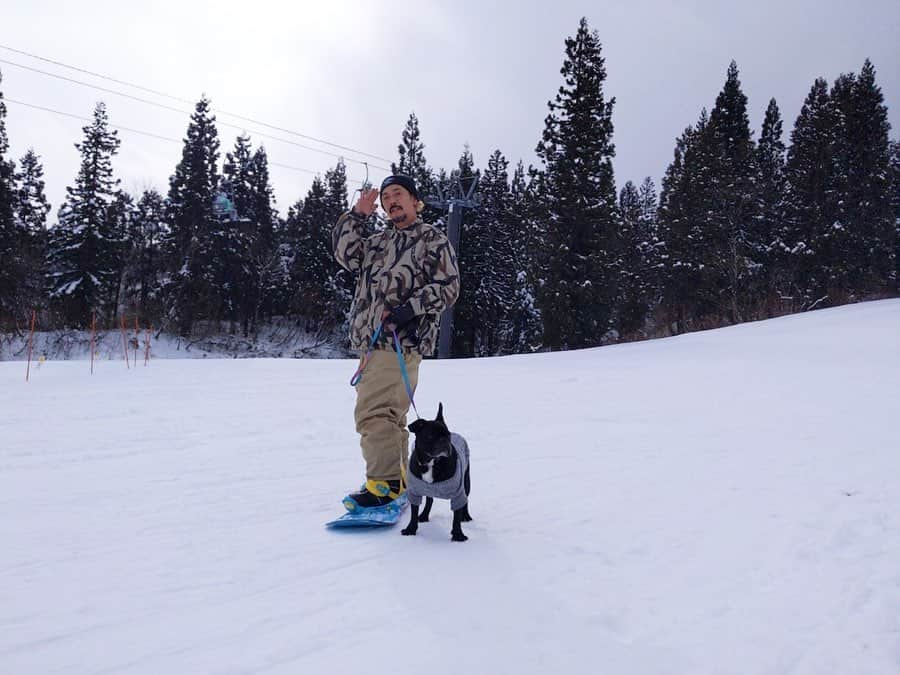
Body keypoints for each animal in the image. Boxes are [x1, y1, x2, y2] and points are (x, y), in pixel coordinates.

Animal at [400, 404, 472, 540]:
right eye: (431, 436)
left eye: (448, 435)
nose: (445, 441)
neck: (431, 463)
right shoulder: (415, 492)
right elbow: (414, 512)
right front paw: (411, 529)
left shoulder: (458, 493)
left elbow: (456, 515)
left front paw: (458, 535)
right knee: (429, 500)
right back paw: (424, 515)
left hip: (466, 481)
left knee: (466, 499)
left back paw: (466, 516)